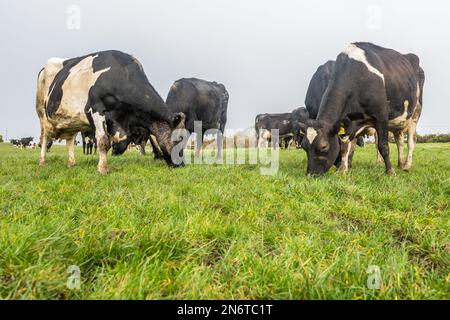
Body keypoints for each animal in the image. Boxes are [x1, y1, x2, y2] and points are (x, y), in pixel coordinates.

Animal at [34, 50, 186, 174]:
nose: (182, 164)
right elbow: (103, 141)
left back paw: (71, 163)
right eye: (179, 139)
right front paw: (102, 168)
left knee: (70, 138)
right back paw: (42, 162)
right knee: (44, 137)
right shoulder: (96, 109)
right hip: (42, 113)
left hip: (70, 120)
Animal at [298, 41, 426, 176]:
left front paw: (390, 171)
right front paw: (343, 170)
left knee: (411, 140)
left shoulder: (381, 114)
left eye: (323, 147)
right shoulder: (348, 122)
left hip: (415, 113)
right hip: (399, 120)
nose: (311, 174)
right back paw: (400, 164)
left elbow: (383, 146)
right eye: (304, 146)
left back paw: (406, 165)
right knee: (399, 139)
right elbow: (345, 146)